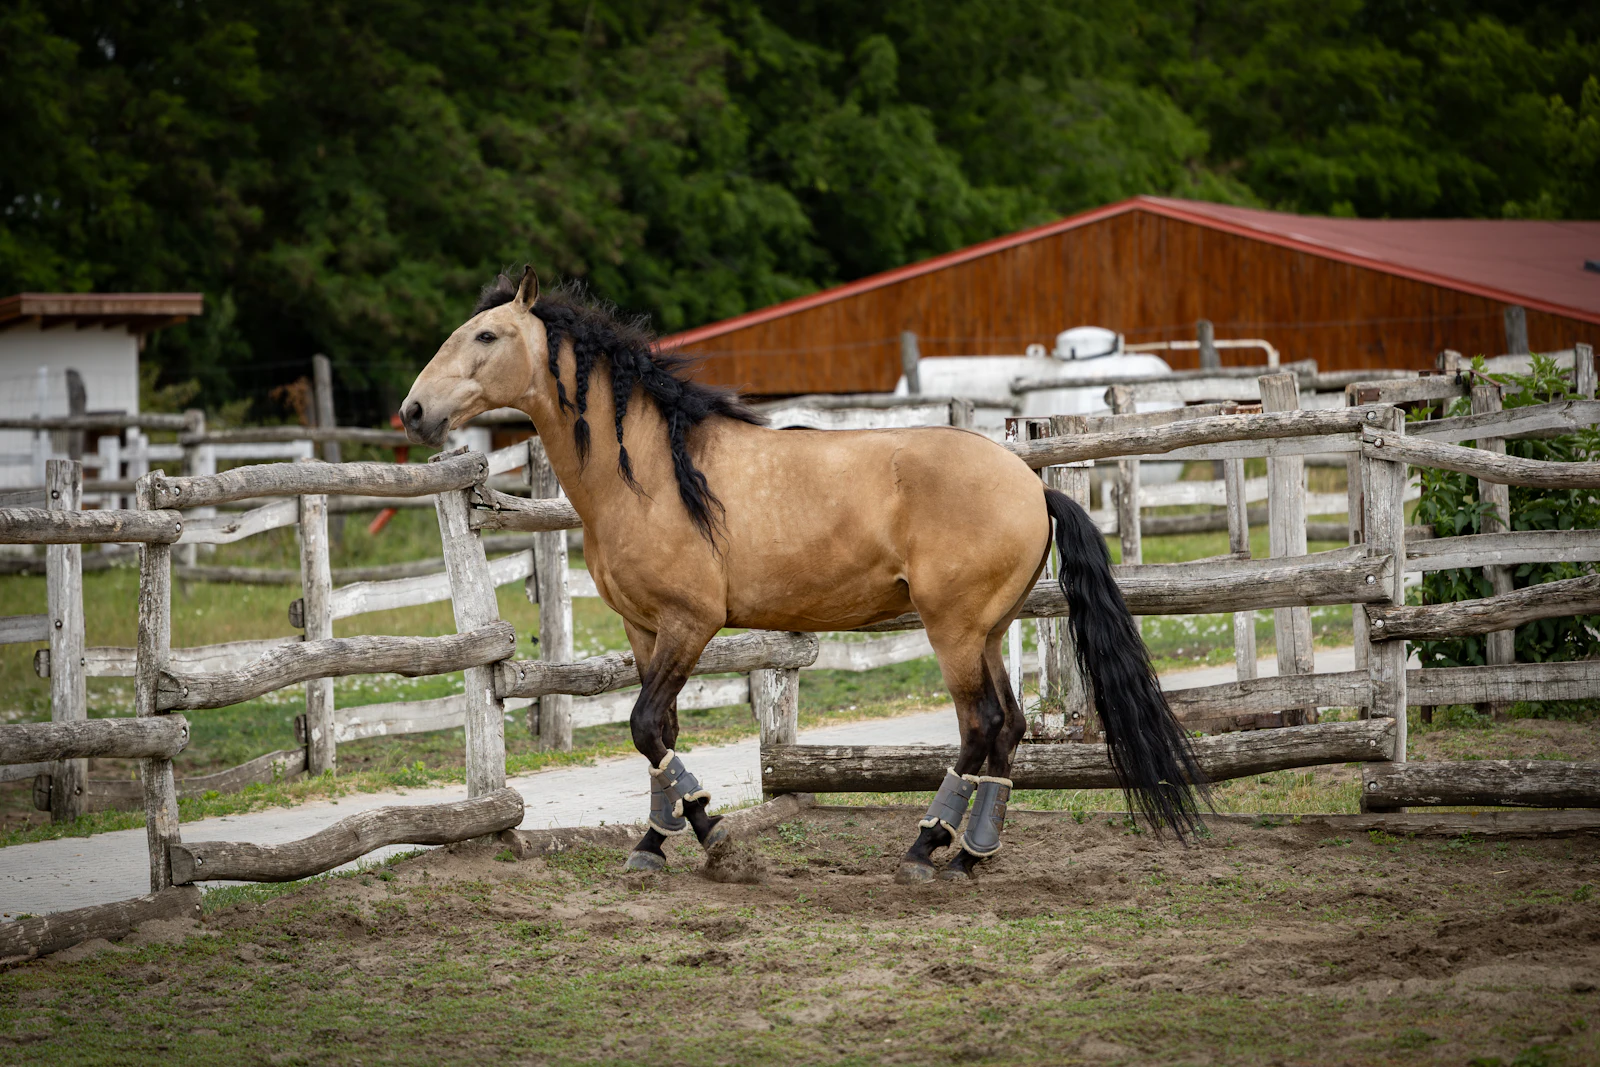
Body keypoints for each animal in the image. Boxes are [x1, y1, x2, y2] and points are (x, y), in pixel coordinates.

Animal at [402, 268, 1205, 882]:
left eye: (486, 336)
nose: (413, 410)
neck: (655, 472)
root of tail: (1033, 485)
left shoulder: (692, 624)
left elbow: (644, 725)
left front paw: (714, 837)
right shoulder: (644, 630)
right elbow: (659, 733)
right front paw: (655, 843)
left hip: (954, 630)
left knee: (980, 726)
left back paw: (926, 849)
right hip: (986, 630)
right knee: (1007, 727)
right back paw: (971, 855)